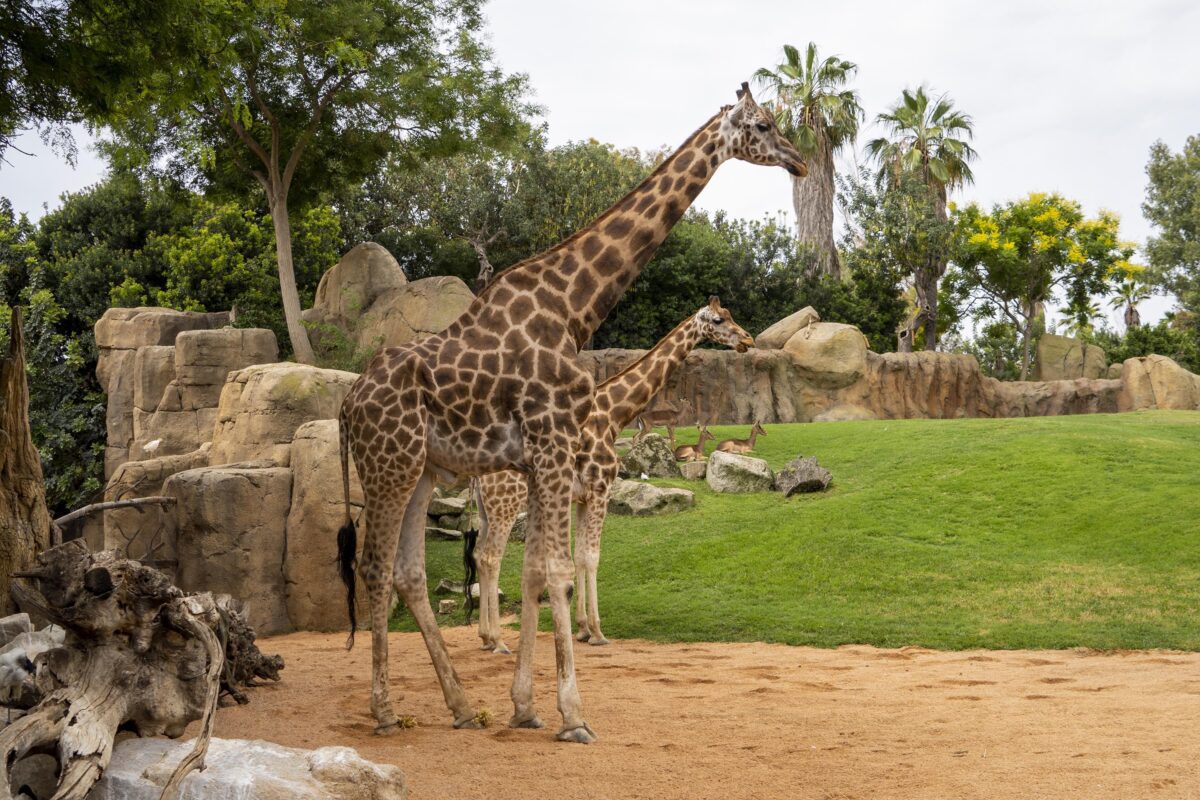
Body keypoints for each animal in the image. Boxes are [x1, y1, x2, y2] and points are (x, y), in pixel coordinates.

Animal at [473, 297, 754, 654]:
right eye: (718, 320)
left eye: (729, 316)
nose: (748, 340)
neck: (612, 415)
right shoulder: (600, 489)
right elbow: (592, 557)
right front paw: (596, 631)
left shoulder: (582, 496)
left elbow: (580, 557)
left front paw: (581, 628)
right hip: (506, 503)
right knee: (491, 557)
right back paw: (498, 640)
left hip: (486, 508)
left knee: (478, 554)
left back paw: (484, 636)